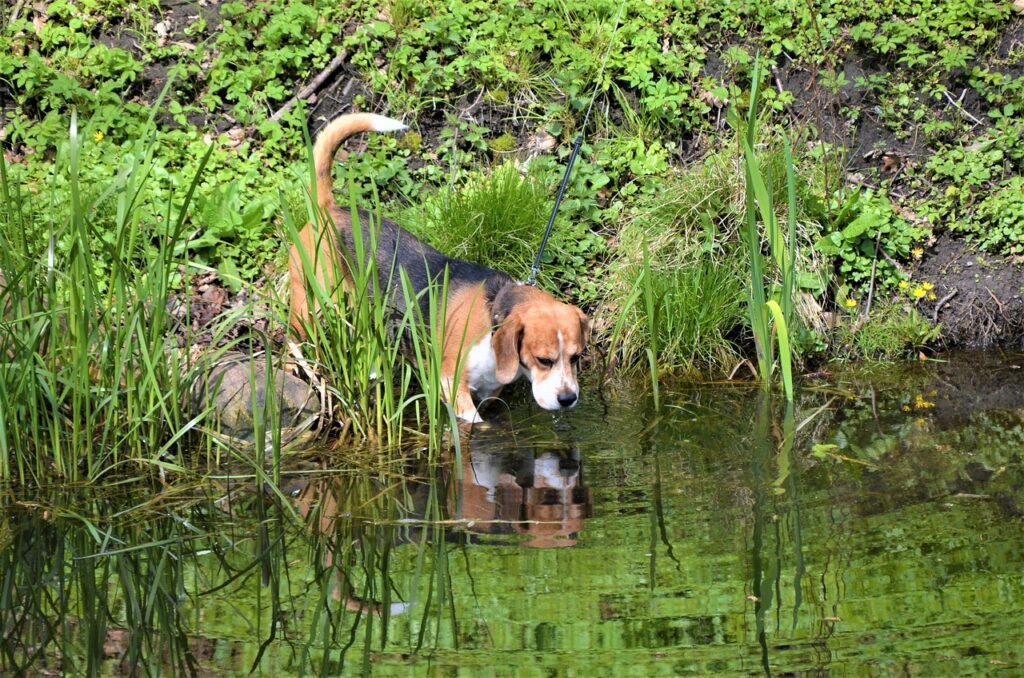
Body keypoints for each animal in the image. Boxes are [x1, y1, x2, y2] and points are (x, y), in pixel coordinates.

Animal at [290, 113, 593, 421]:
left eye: (576, 357)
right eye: (544, 360)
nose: (568, 398)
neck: (492, 315)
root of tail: (328, 210)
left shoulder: (489, 391)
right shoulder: (452, 385)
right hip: (310, 307)